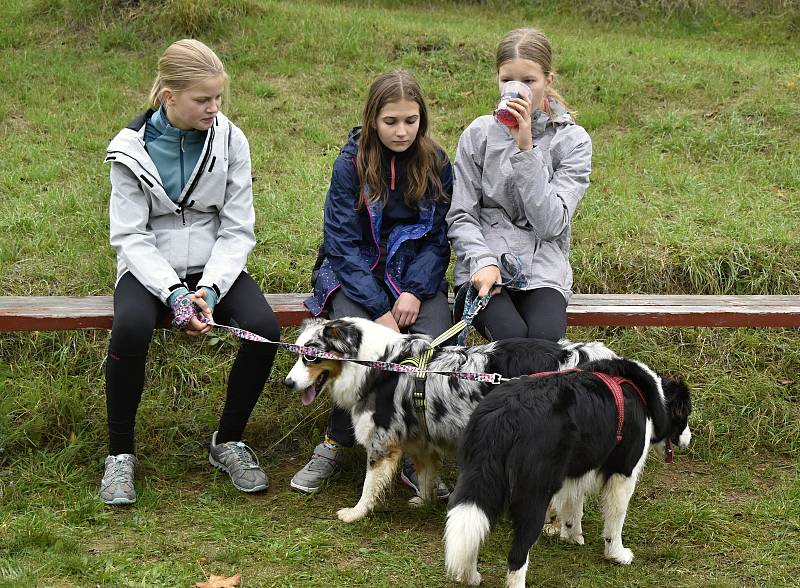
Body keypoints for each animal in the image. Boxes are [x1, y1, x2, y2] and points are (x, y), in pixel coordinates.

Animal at [284, 320, 616, 520]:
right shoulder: (421, 440)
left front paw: (355, 513)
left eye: (310, 356)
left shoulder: (382, 442)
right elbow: (425, 476)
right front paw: (424, 501)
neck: (378, 363)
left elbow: (369, 486)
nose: (288, 383)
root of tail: (574, 355)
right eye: (298, 354)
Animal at [446, 356, 692, 584]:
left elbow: (573, 506)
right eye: (686, 414)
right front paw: (617, 555)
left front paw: (571, 535)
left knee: (470, 533)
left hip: (479, 483)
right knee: (517, 556)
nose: (689, 439)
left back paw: (469, 577)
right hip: (533, 496)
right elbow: (615, 521)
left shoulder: (573, 473)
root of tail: (505, 415)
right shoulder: (623, 475)